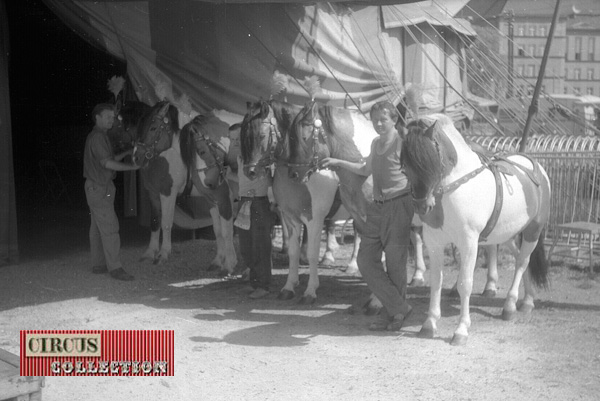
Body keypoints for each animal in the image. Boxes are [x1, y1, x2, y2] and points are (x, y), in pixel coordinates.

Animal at [132, 101, 238, 274]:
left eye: (153, 128)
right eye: (137, 127)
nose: (136, 157)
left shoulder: (169, 192)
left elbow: (166, 222)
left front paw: (163, 254)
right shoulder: (154, 193)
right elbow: (155, 221)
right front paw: (150, 253)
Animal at [400, 114, 552, 346]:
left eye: (430, 162)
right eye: (405, 166)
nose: (422, 206)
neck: (455, 187)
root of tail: (536, 168)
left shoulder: (469, 243)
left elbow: (465, 284)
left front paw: (461, 330)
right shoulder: (434, 243)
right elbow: (436, 282)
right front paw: (429, 324)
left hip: (533, 231)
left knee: (522, 262)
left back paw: (510, 306)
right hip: (507, 235)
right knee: (521, 259)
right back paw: (527, 299)